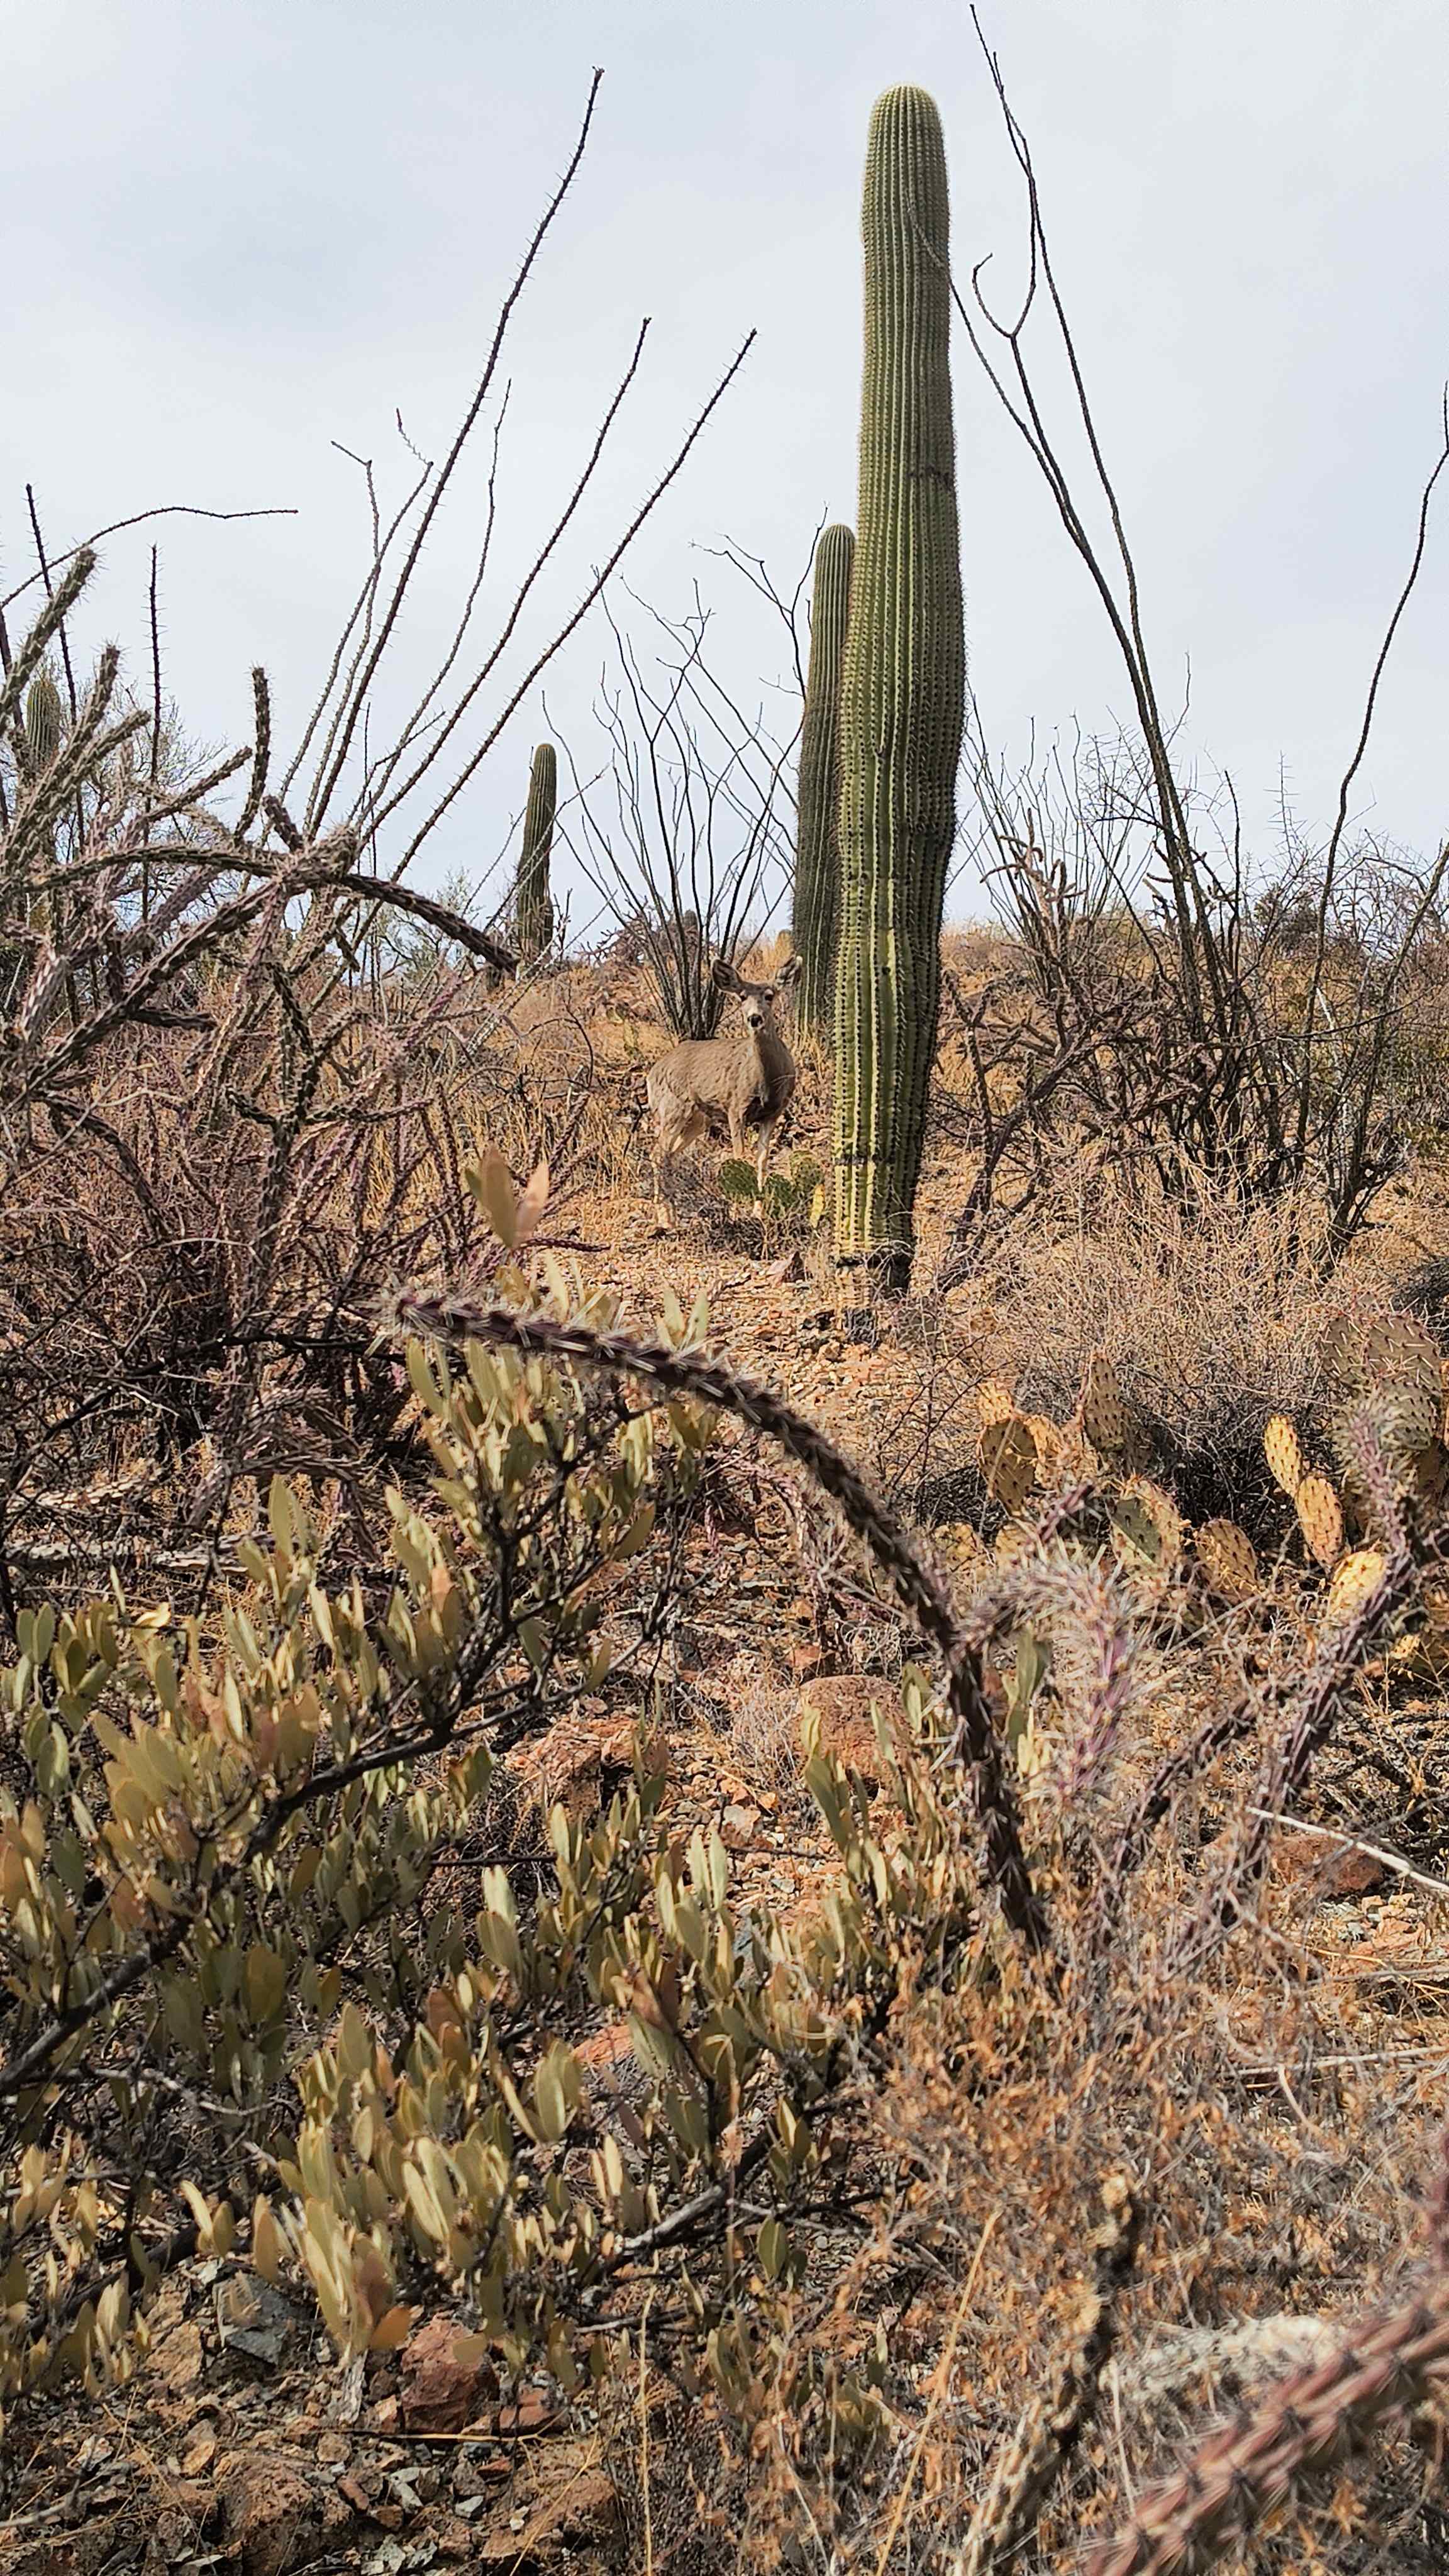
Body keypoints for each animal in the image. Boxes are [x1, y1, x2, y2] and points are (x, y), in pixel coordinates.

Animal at [646, 954, 801, 1217]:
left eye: (769, 996)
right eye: (742, 997)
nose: (754, 1018)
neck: (767, 1083)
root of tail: (652, 1073)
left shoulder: (774, 1112)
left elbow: (762, 1160)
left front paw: (758, 1212)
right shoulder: (735, 1108)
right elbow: (740, 1157)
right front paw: (738, 1211)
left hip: (698, 1119)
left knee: (670, 1154)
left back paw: (671, 1213)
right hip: (673, 1107)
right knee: (658, 1152)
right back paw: (665, 1217)